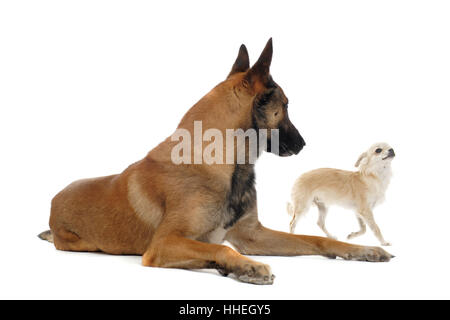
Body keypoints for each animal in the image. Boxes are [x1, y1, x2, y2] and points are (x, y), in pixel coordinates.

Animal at [38, 38, 392, 286]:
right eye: (287, 105)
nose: (303, 145)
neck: (223, 160)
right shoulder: (163, 244)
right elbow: (221, 248)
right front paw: (246, 266)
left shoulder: (252, 235)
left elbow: (317, 239)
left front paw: (365, 250)